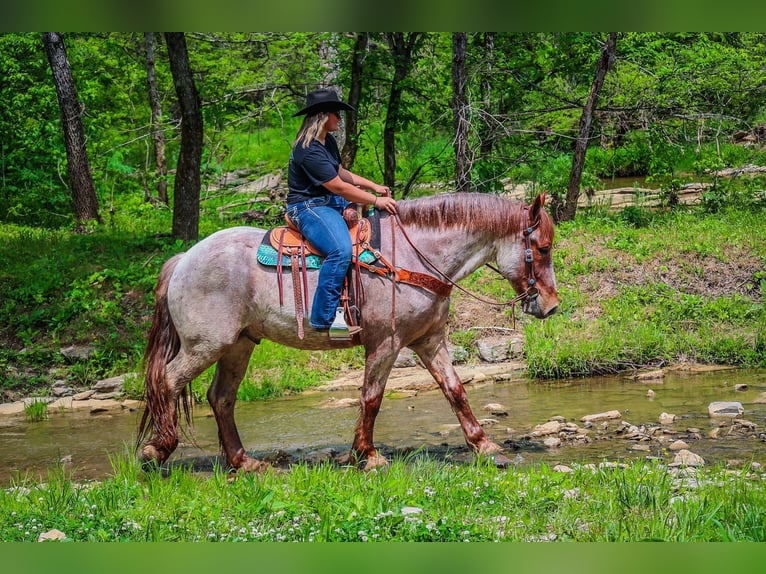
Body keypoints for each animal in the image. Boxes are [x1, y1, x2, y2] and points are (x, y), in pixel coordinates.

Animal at [138, 192, 560, 472]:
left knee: (221, 398)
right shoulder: (386, 344)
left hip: (239, 344)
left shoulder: (429, 341)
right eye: (541, 248)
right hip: (205, 345)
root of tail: (184, 259)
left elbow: (455, 391)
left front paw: (485, 446)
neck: (414, 257)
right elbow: (371, 398)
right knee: (166, 382)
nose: (551, 305)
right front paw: (367, 455)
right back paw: (156, 451)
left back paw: (244, 463)